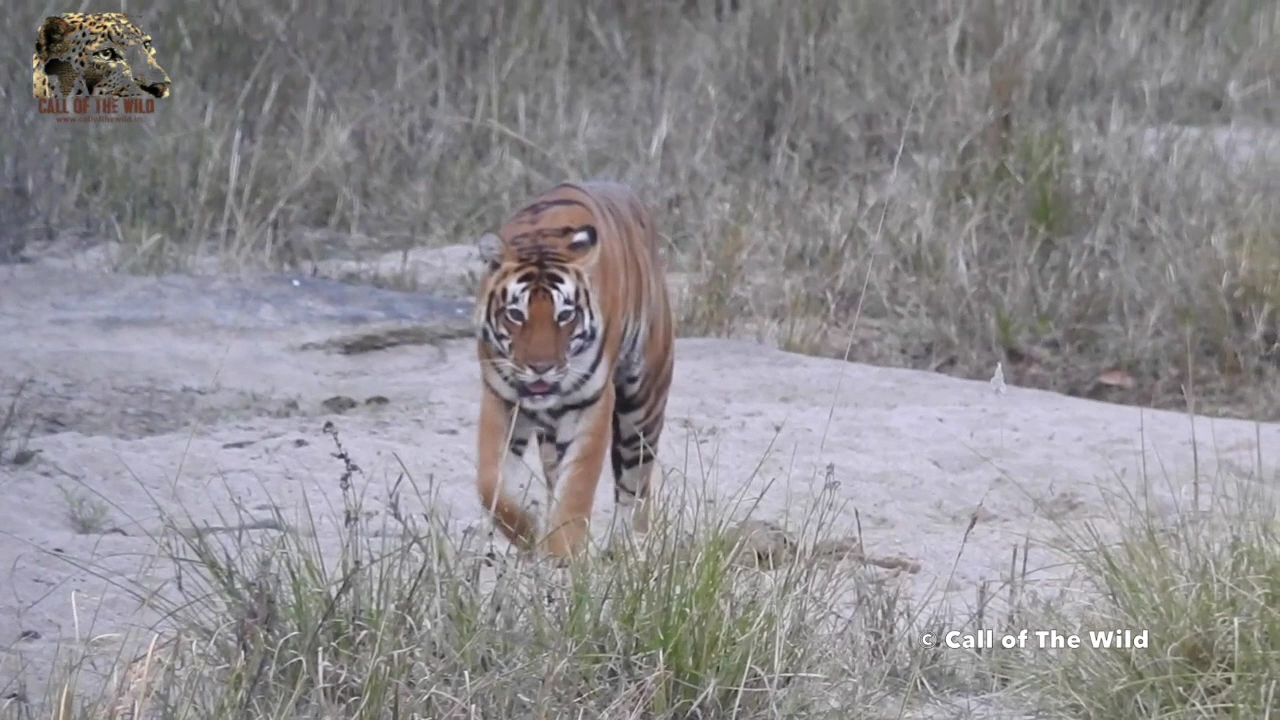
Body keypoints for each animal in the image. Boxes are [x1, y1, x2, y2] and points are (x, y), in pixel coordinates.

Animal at [473, 179, 675, 561]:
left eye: (564, 315)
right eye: (516, 314)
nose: (541, 368)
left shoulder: (591, 402)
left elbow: (577, 487)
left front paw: (561, 554)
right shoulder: (500, 397)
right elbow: (492, 483)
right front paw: (528, 531)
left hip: (643, 403)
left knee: (636, 485)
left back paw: (631, 548)